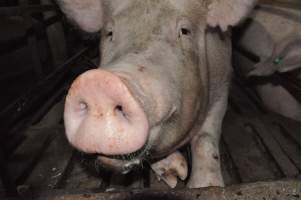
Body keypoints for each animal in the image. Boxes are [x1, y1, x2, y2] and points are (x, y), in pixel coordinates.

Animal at [56, 0, 255, 188]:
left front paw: (206, 186)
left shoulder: (223, 83)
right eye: (110, 33)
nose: (97, 84)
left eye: (185, 31)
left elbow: (205, 137)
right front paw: (174, 173)